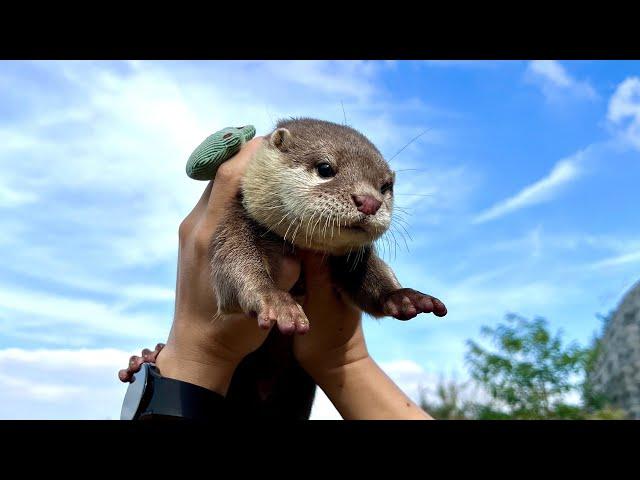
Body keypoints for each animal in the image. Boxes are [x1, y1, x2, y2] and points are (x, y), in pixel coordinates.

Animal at [210, 118, 444, 336]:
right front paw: (275, 301)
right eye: (325, 168)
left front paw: (404, 297)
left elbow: (373, 276)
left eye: (386, 186)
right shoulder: (236, 219)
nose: (369, 202)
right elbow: (233, 265)